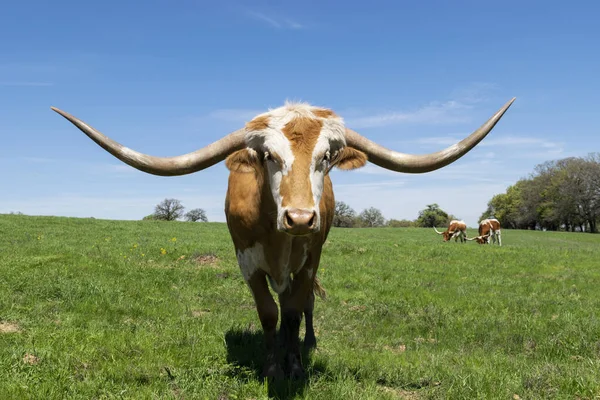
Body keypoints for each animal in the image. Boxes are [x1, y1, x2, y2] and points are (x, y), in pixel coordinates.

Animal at [50, 98, 516, 380]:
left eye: (327, 156)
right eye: (267, 156)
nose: (301, 217)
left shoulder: (308, 261)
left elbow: (292, 313)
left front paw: (294, 363)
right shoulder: (247, 263)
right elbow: (268, 314)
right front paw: (272, 364)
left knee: (305, 305)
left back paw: (307, 342)